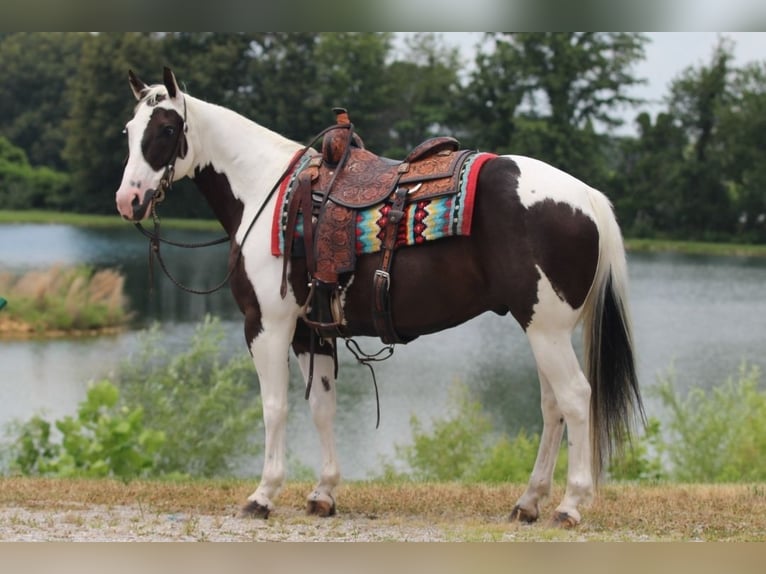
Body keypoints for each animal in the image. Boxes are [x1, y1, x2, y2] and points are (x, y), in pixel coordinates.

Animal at [115, 67, 643, 527]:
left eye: (166, 129)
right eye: (129, 129)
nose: (128, 200)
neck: (265, 191)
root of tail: (586, 195)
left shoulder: (267, 324)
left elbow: (274, 406)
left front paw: (263, 496)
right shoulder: (310, 331)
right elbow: (321, 405)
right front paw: (323, 493)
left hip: (546, 330)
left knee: (575, 399)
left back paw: (569, 506)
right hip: (541, 330)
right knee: (552, 406)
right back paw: (529, 502)